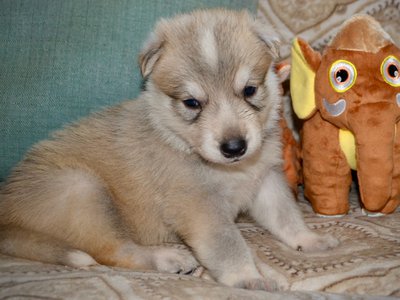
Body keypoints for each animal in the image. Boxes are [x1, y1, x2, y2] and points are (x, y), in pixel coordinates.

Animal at [0, 8, 338, 290]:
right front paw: (247, 278)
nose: (234, 147)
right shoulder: (201, 207)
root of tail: (7, 218)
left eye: (250, 90)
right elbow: (229, 244)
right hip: (83, 191)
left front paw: (307, 240)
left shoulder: (266, 180)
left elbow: (286, 216)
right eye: (191, 103)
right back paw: (168, 259)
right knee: (114, 252)